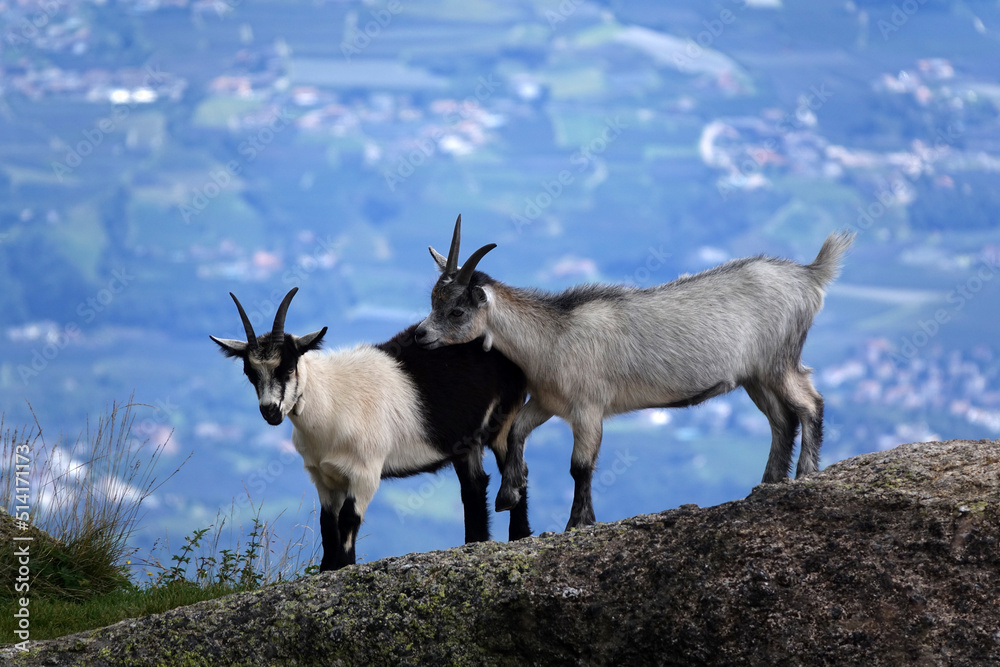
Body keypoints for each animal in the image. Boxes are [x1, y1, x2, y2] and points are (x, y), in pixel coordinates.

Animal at [210, 287, 529, 571]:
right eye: (250, 373)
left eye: (288, 367)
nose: (270, 411)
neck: (331, 402)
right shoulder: (323, 477)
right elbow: (328, 524)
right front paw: (327, 569)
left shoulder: (365, 472)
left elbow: (348, 519)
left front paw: (343, 567)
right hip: (467, 440)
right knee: (474, 485)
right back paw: (476, 541)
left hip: (506, 417)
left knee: (516, 470)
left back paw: (519, 537)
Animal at [415, 215, 854, 530]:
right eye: (433, 301)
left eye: (456, 310)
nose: (421, 335)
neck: (551, 337)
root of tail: (810, 274)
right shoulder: (547, 403)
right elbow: (518, 433)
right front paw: (509, 494)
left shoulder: (588, 408)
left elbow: (580, 466)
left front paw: (578, 523)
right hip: (755, 377)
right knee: (781, 419)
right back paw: (768, 483)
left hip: (779, 360)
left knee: (810, 403)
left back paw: (805, 474)